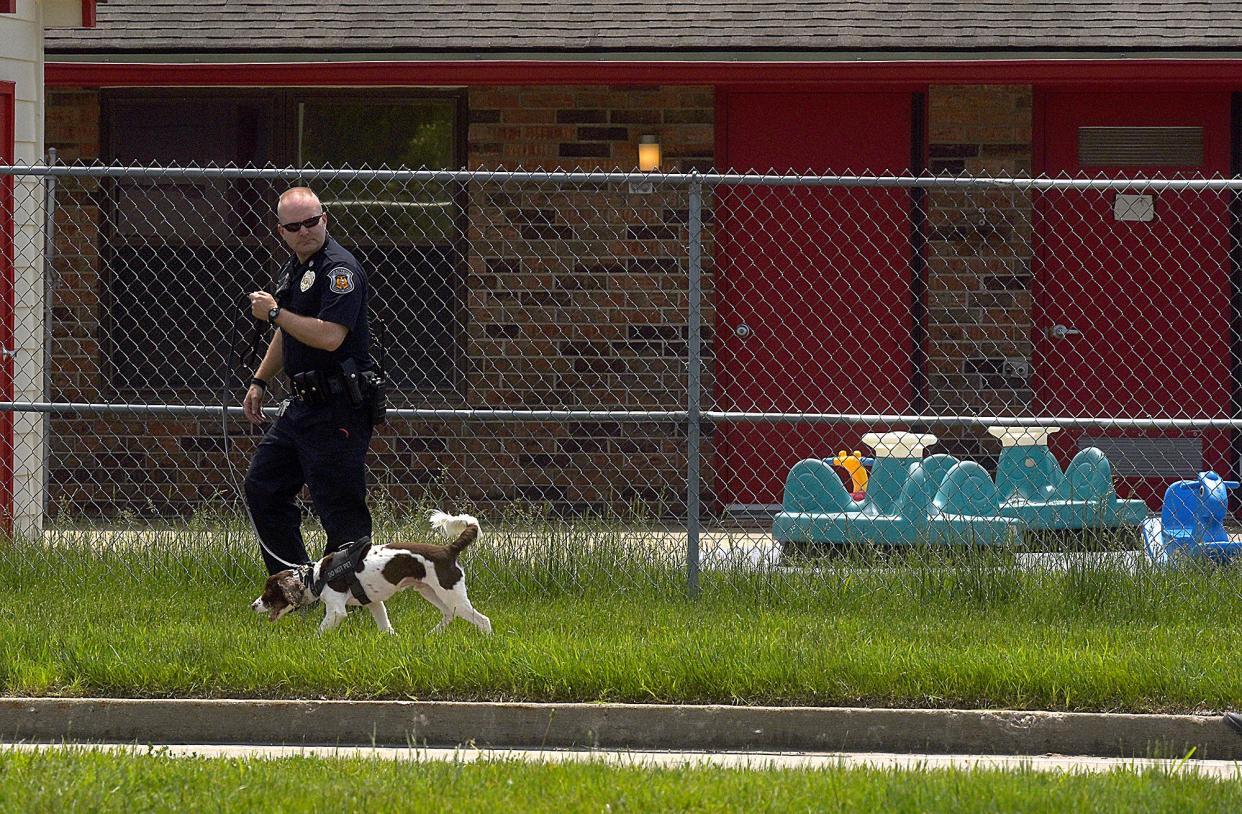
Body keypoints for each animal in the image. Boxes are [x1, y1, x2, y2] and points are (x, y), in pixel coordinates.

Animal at [248, 509, 489, 636]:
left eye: (269, 592)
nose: (253, 606)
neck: (315, 577)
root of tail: (449, 549)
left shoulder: (336, 610)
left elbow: (320, 631)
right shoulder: (374, 603)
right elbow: (386, 628)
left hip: (451, 593)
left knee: (483, 620)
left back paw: (486, 641)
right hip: (430, 591)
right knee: (449, 614)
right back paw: (431, 636)